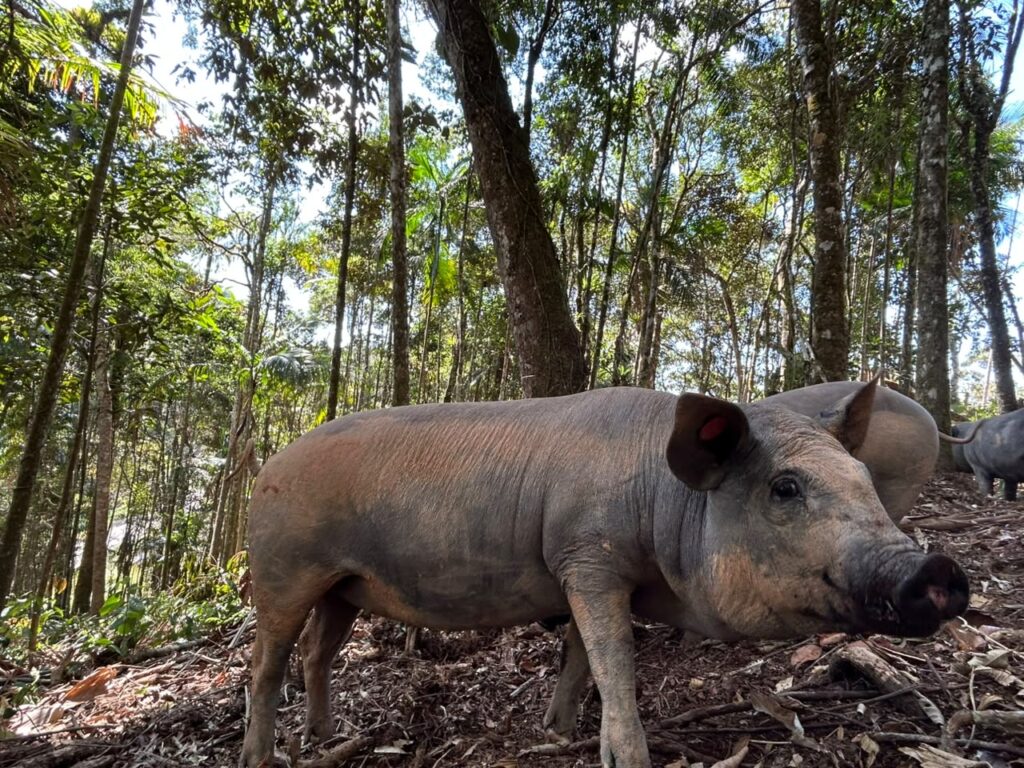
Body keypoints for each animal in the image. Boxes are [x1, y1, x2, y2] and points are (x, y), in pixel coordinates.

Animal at [240, 381, 968, 768]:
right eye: (784, 488)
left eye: (863, 478)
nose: (935, 568)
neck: (663, 499)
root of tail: (266, 465)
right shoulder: (587, 556)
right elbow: (613, 653)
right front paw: (625, 757)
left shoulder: (586, 571)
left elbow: (579, 655)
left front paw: (556, 732)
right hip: (281, 567)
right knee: (268, 662)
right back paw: (261, 755)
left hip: (343, 587)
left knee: (317, 654)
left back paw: (323, 738)